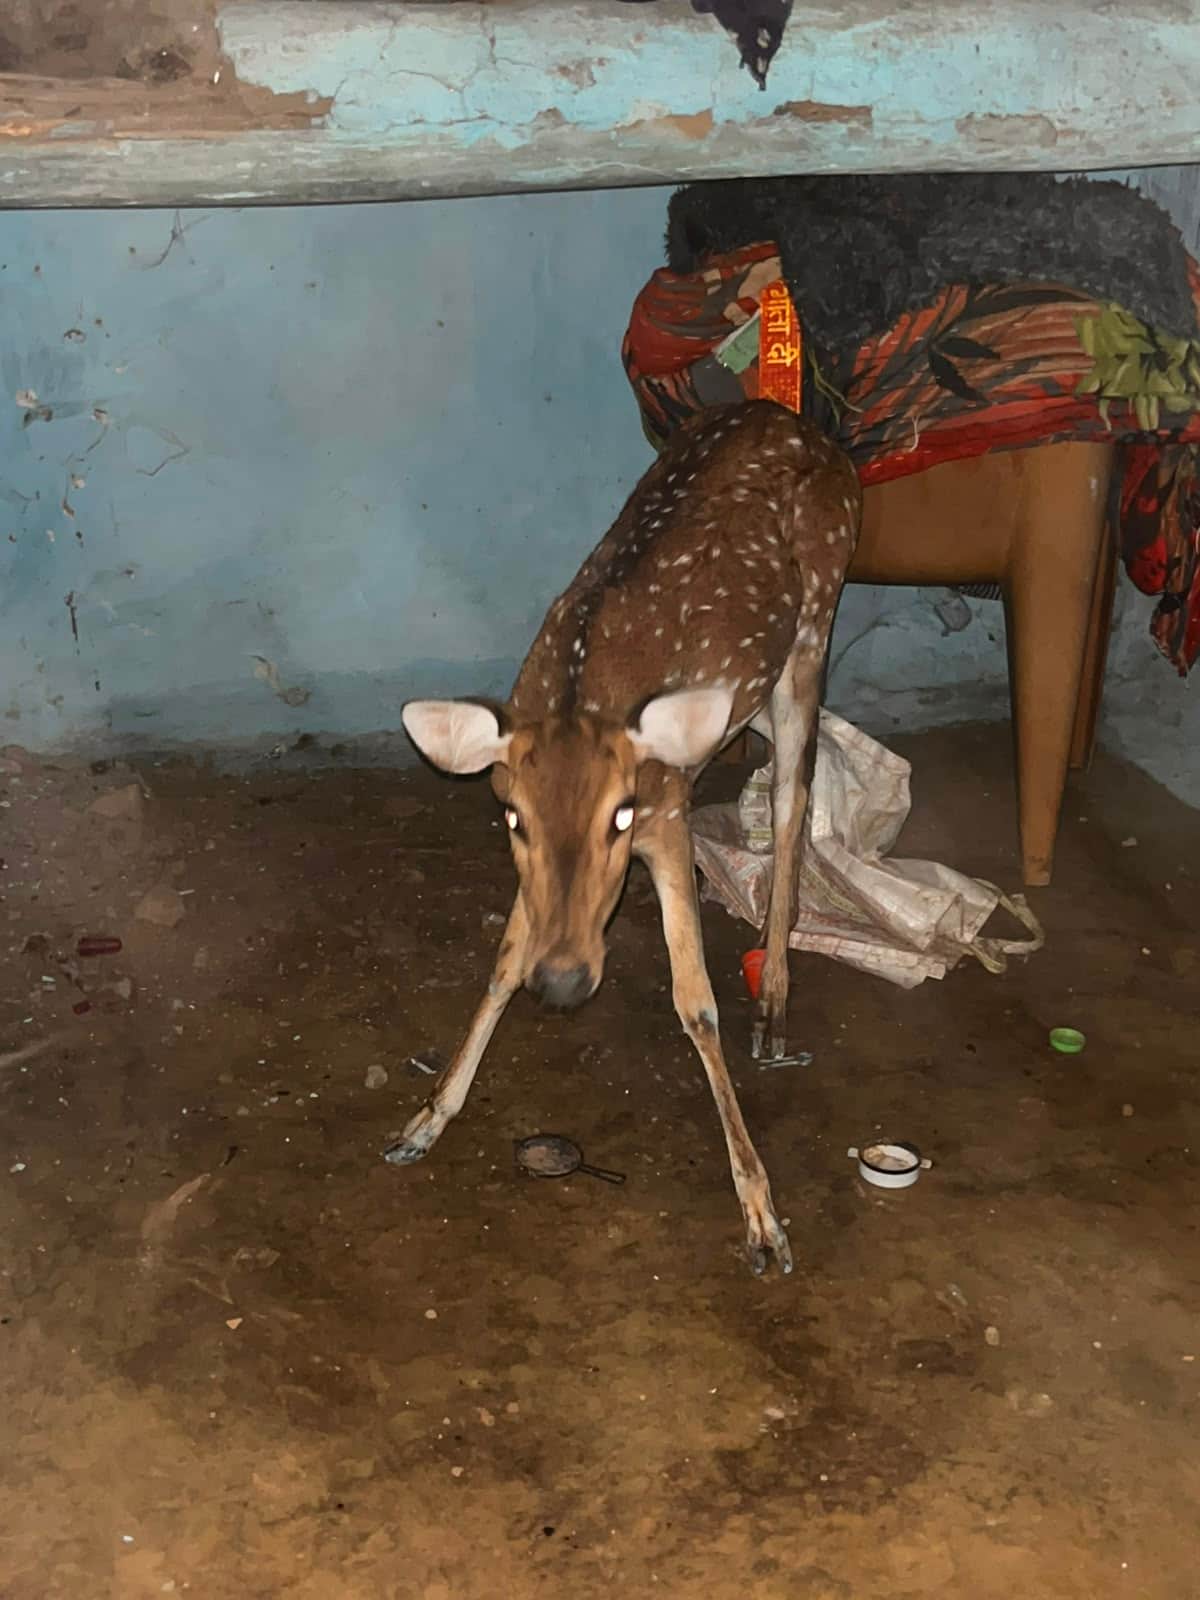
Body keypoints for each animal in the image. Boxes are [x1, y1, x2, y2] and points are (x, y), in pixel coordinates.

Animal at [391, 399, 861, 1276]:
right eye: (513, 817)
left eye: (622, 813)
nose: (565, 982)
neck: (581, 686)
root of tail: (798, 421)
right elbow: (502, 962)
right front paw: (425, 1119)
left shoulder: (668, 812)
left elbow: (697, 1003)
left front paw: (763, 1218)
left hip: (817, 618)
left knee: (794, 800)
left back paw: (774, 1001)